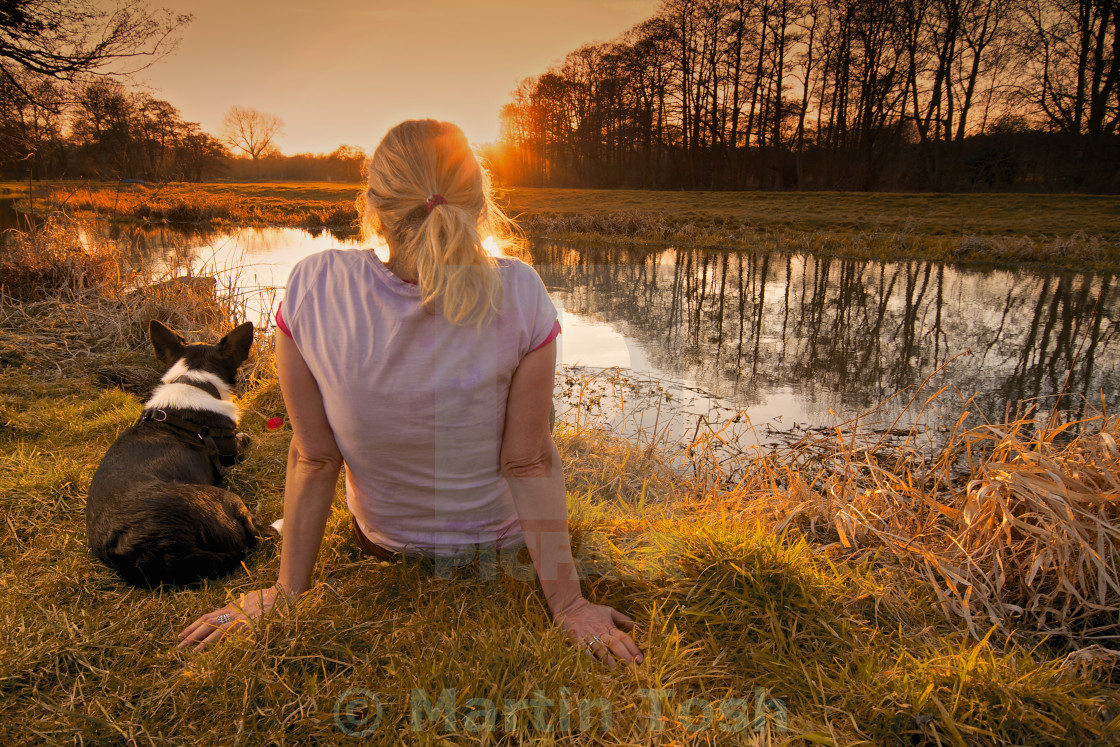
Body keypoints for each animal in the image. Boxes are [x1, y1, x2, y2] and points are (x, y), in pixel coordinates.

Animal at [86, 318, 280, 586]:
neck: (194, 380)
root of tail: (161, 548)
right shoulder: (233, 451)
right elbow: (243, 440)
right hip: (225, 498)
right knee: (260, 532)